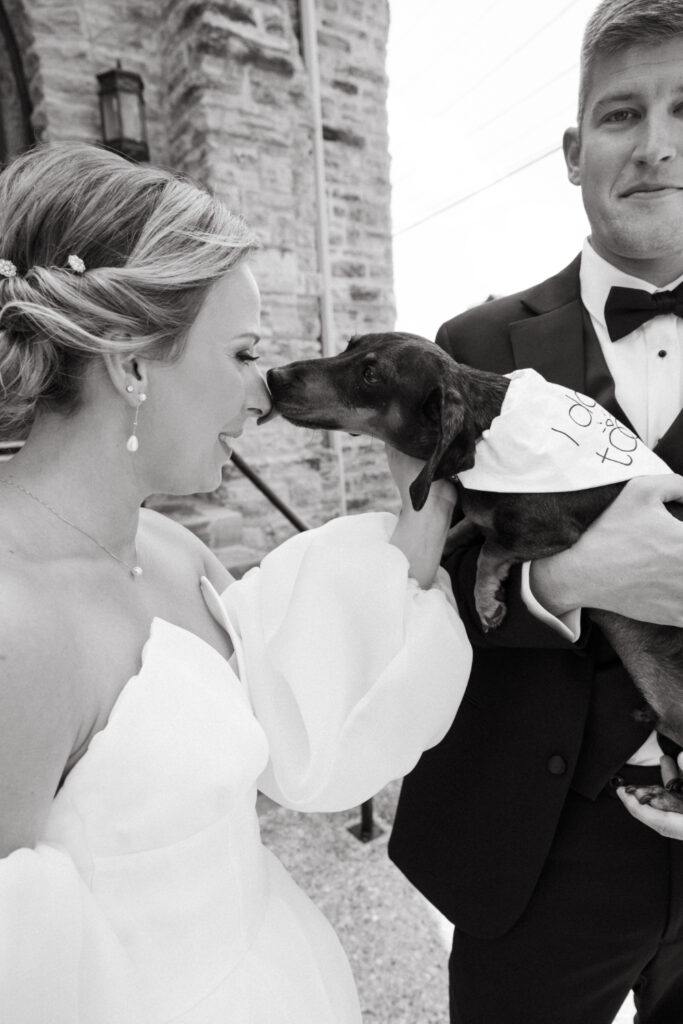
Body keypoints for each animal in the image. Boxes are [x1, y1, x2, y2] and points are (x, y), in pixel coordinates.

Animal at [270, 327, 683, 806]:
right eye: (351, 345)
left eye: (371, 374)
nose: (273, 376)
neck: (491, 433)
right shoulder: (477, 516)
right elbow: (468, 531)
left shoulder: (554, 531)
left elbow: (492, 551)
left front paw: (487, 602)